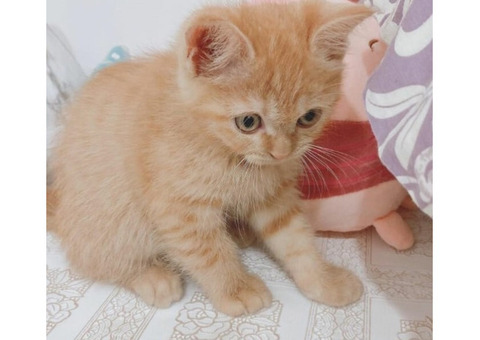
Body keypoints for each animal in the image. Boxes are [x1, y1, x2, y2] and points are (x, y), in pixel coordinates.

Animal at [47, 0, 372, 316]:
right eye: (248, 122)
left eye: (309, 117)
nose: (281, 152)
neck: (229, 154)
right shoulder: (179, 208)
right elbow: (207, 252)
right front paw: (236, 290)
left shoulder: (274, 195)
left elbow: (296, 241)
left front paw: (323, 280)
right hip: (113, 218)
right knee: (95, 258)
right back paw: (151, 277)